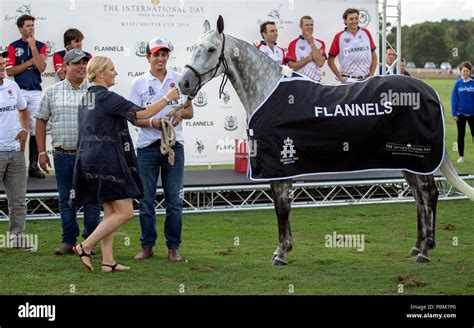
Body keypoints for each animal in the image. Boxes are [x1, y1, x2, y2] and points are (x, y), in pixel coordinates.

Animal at [179, 16, 474, 266]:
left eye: (211, 49)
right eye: (193, 47)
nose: (184, 83)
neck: (268, 91)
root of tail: (427, 89)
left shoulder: (281, 163)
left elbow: (281, 207)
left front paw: (281, 252)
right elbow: (281, 206)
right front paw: (283, 248)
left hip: (419, 158)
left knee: (429, 194)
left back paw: (425, 251)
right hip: (405, 159)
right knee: (419, 197)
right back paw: (418, 245)